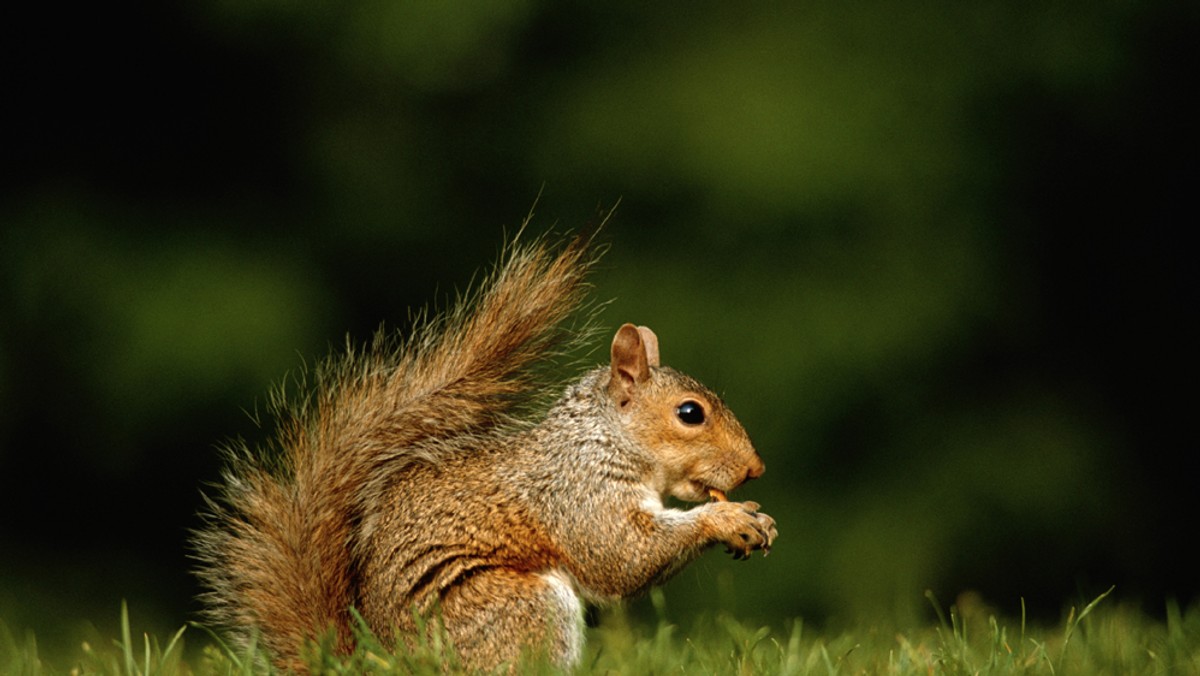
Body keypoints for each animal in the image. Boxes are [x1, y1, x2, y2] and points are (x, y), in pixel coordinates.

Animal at [190, 226, 777, 672]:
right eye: (690, 413)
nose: (755, 468)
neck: (602, 438)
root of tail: (380, 663)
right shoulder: (575, 494)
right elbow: (622, 556)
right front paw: (725, 521)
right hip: (516, 608)